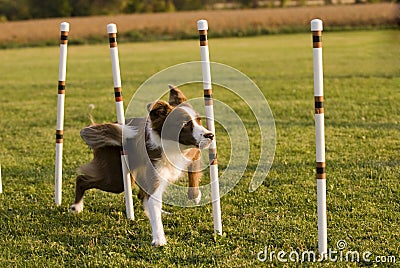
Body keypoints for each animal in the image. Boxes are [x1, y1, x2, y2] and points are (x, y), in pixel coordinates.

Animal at [70, 85, 214, 246]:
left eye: (199, 121)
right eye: (184, 124)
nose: (210, 135)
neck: (174, 147)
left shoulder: (194, 154)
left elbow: (193, 177)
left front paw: (195, 196)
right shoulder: (155, 175)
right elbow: (153, 203)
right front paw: (159, 238)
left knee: (142, 195)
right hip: (116, 179)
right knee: (82, 179)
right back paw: (77, 207)